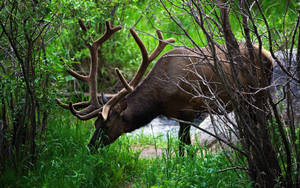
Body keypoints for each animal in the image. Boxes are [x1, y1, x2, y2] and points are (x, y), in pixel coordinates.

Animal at [56, 20, 274, 156]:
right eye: (95, 124)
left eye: (106, 125)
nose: (90, 147)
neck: (159, 101)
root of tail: (268, 54)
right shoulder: (177, 114)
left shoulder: (188, 109)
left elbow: (183, 145)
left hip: (259, 92)